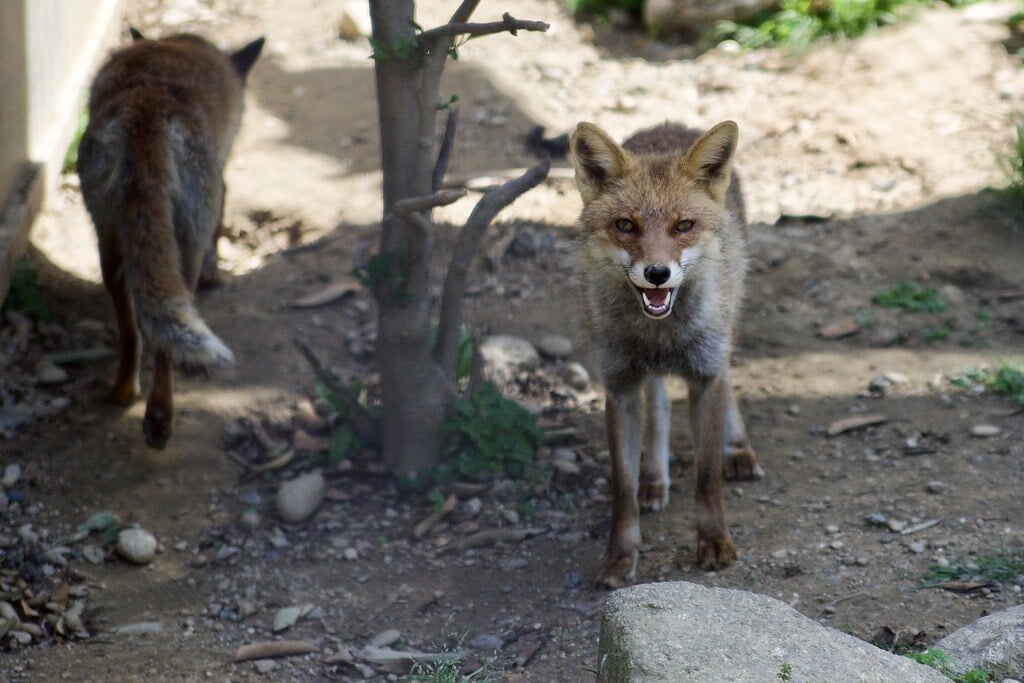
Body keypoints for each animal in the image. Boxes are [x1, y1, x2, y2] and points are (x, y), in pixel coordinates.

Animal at [78, 30, 264, 448]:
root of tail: (148, 104)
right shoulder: (218, 189)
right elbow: (217, 236)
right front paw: (218, 277)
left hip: (108, 237)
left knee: (133, 329)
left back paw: (124, 392)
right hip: (186, 244)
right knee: (167, 337)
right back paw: (160, 417)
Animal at [573, 118, 765, 589]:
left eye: (683, 226)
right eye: (626, 225)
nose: (657, 273)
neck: (658, 337)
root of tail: (670, 124)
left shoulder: (703, 379)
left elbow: (707, 477)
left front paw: (714, 542)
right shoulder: (620, 386)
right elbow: (622, 490)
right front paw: (620, 556)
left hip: (724, 330)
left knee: (727, 377)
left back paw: (738, 448)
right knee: (658, 404)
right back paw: (655, 477)